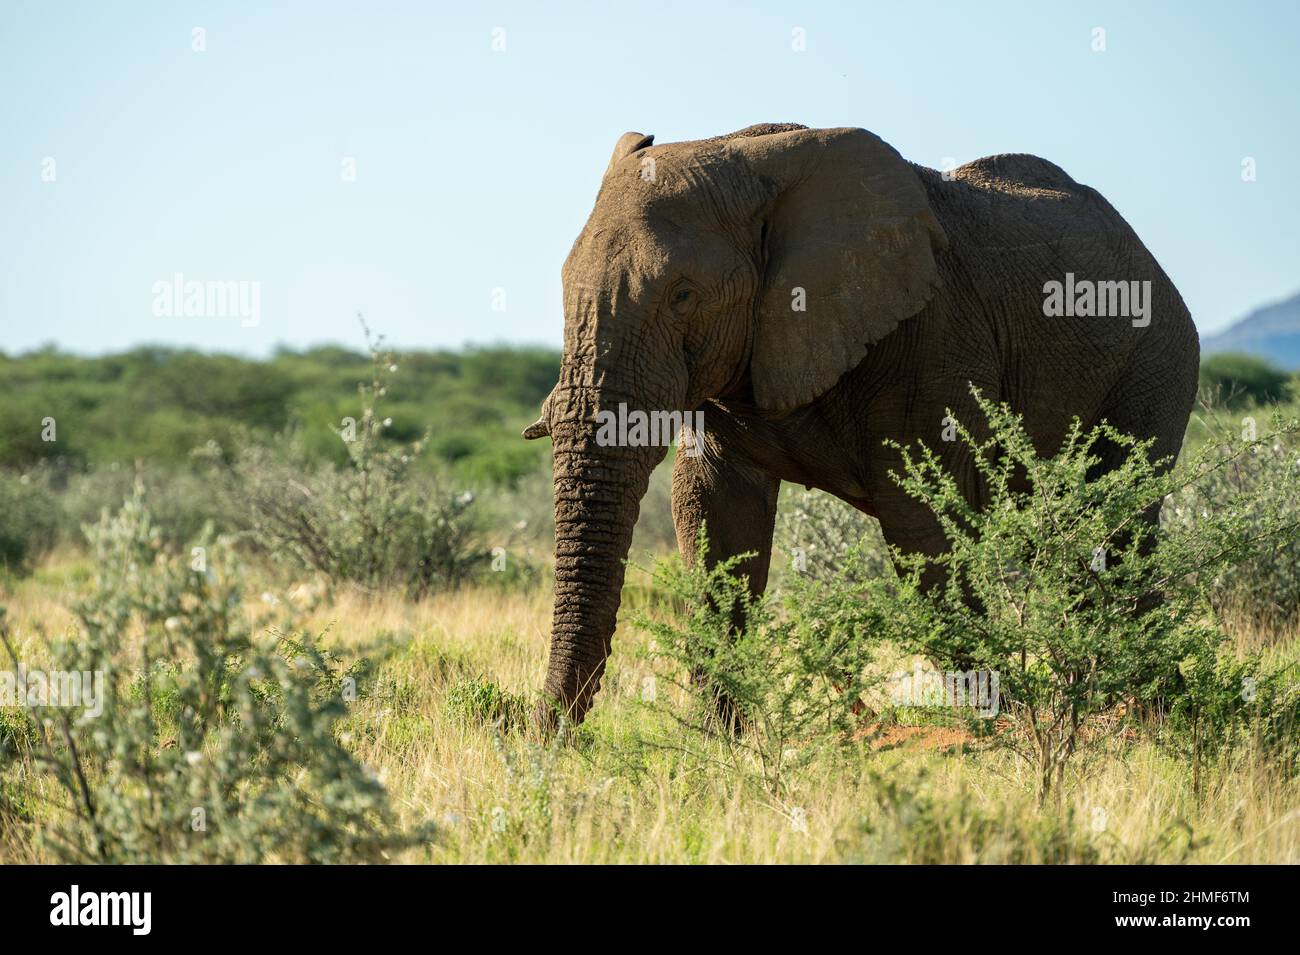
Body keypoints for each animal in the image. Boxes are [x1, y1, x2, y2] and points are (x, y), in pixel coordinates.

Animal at [525, 123, 1196, 727]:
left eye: (683, 295)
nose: (549, 736)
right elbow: (717, 514)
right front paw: (726, 745)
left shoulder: (934, 336)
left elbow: (922, 527)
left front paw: (997, 732)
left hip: (1155, 359)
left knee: (1114, 535)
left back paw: (1157, 720)